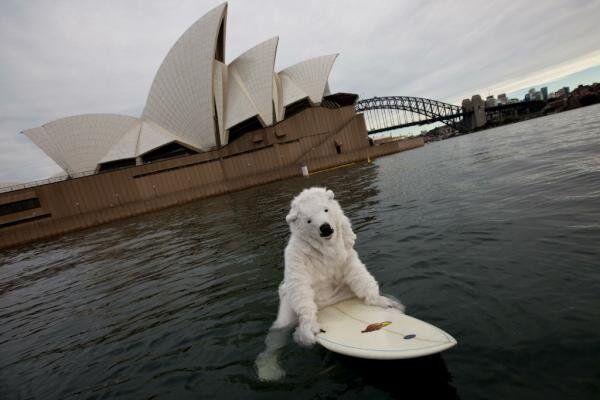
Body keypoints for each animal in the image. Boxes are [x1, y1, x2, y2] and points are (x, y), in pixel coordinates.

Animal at [274, 188, 408, 346]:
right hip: (287, 308)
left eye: (326, 209)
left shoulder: (344, 248)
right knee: (280, 327)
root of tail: (330, 304)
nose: (325, 228)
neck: (325, 246)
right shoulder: (298, 254)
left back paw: (396, 304)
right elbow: (299, 283)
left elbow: (355, 270)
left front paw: (382, 301)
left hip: (345, 292)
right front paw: (309, 328)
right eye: (309, 220)